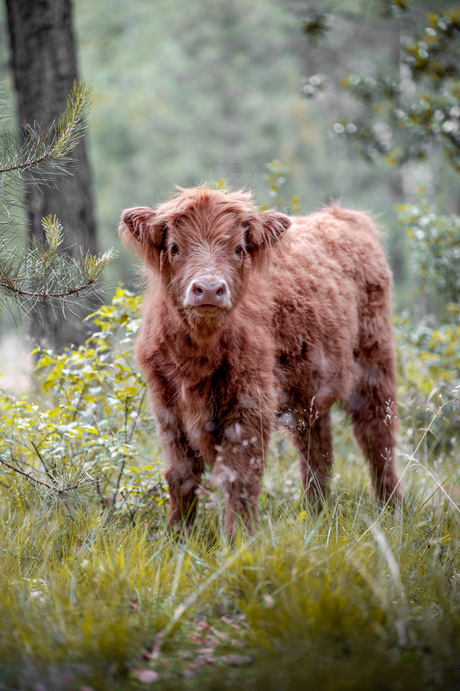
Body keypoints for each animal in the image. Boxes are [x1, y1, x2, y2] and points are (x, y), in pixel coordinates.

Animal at [119, 185, 402, 536]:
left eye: (239, 248)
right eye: (174, 247)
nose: (209, 289)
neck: (198, 358)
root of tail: (343, 216)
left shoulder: (250, 405)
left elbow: (239, 478)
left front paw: (240, 539)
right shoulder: (167, 408)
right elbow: (181, 476)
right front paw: (177, 536)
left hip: (375, 365)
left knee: (378, 439)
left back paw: (390, 511)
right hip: (310, 390)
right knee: (317, 450)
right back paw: (317, 512)